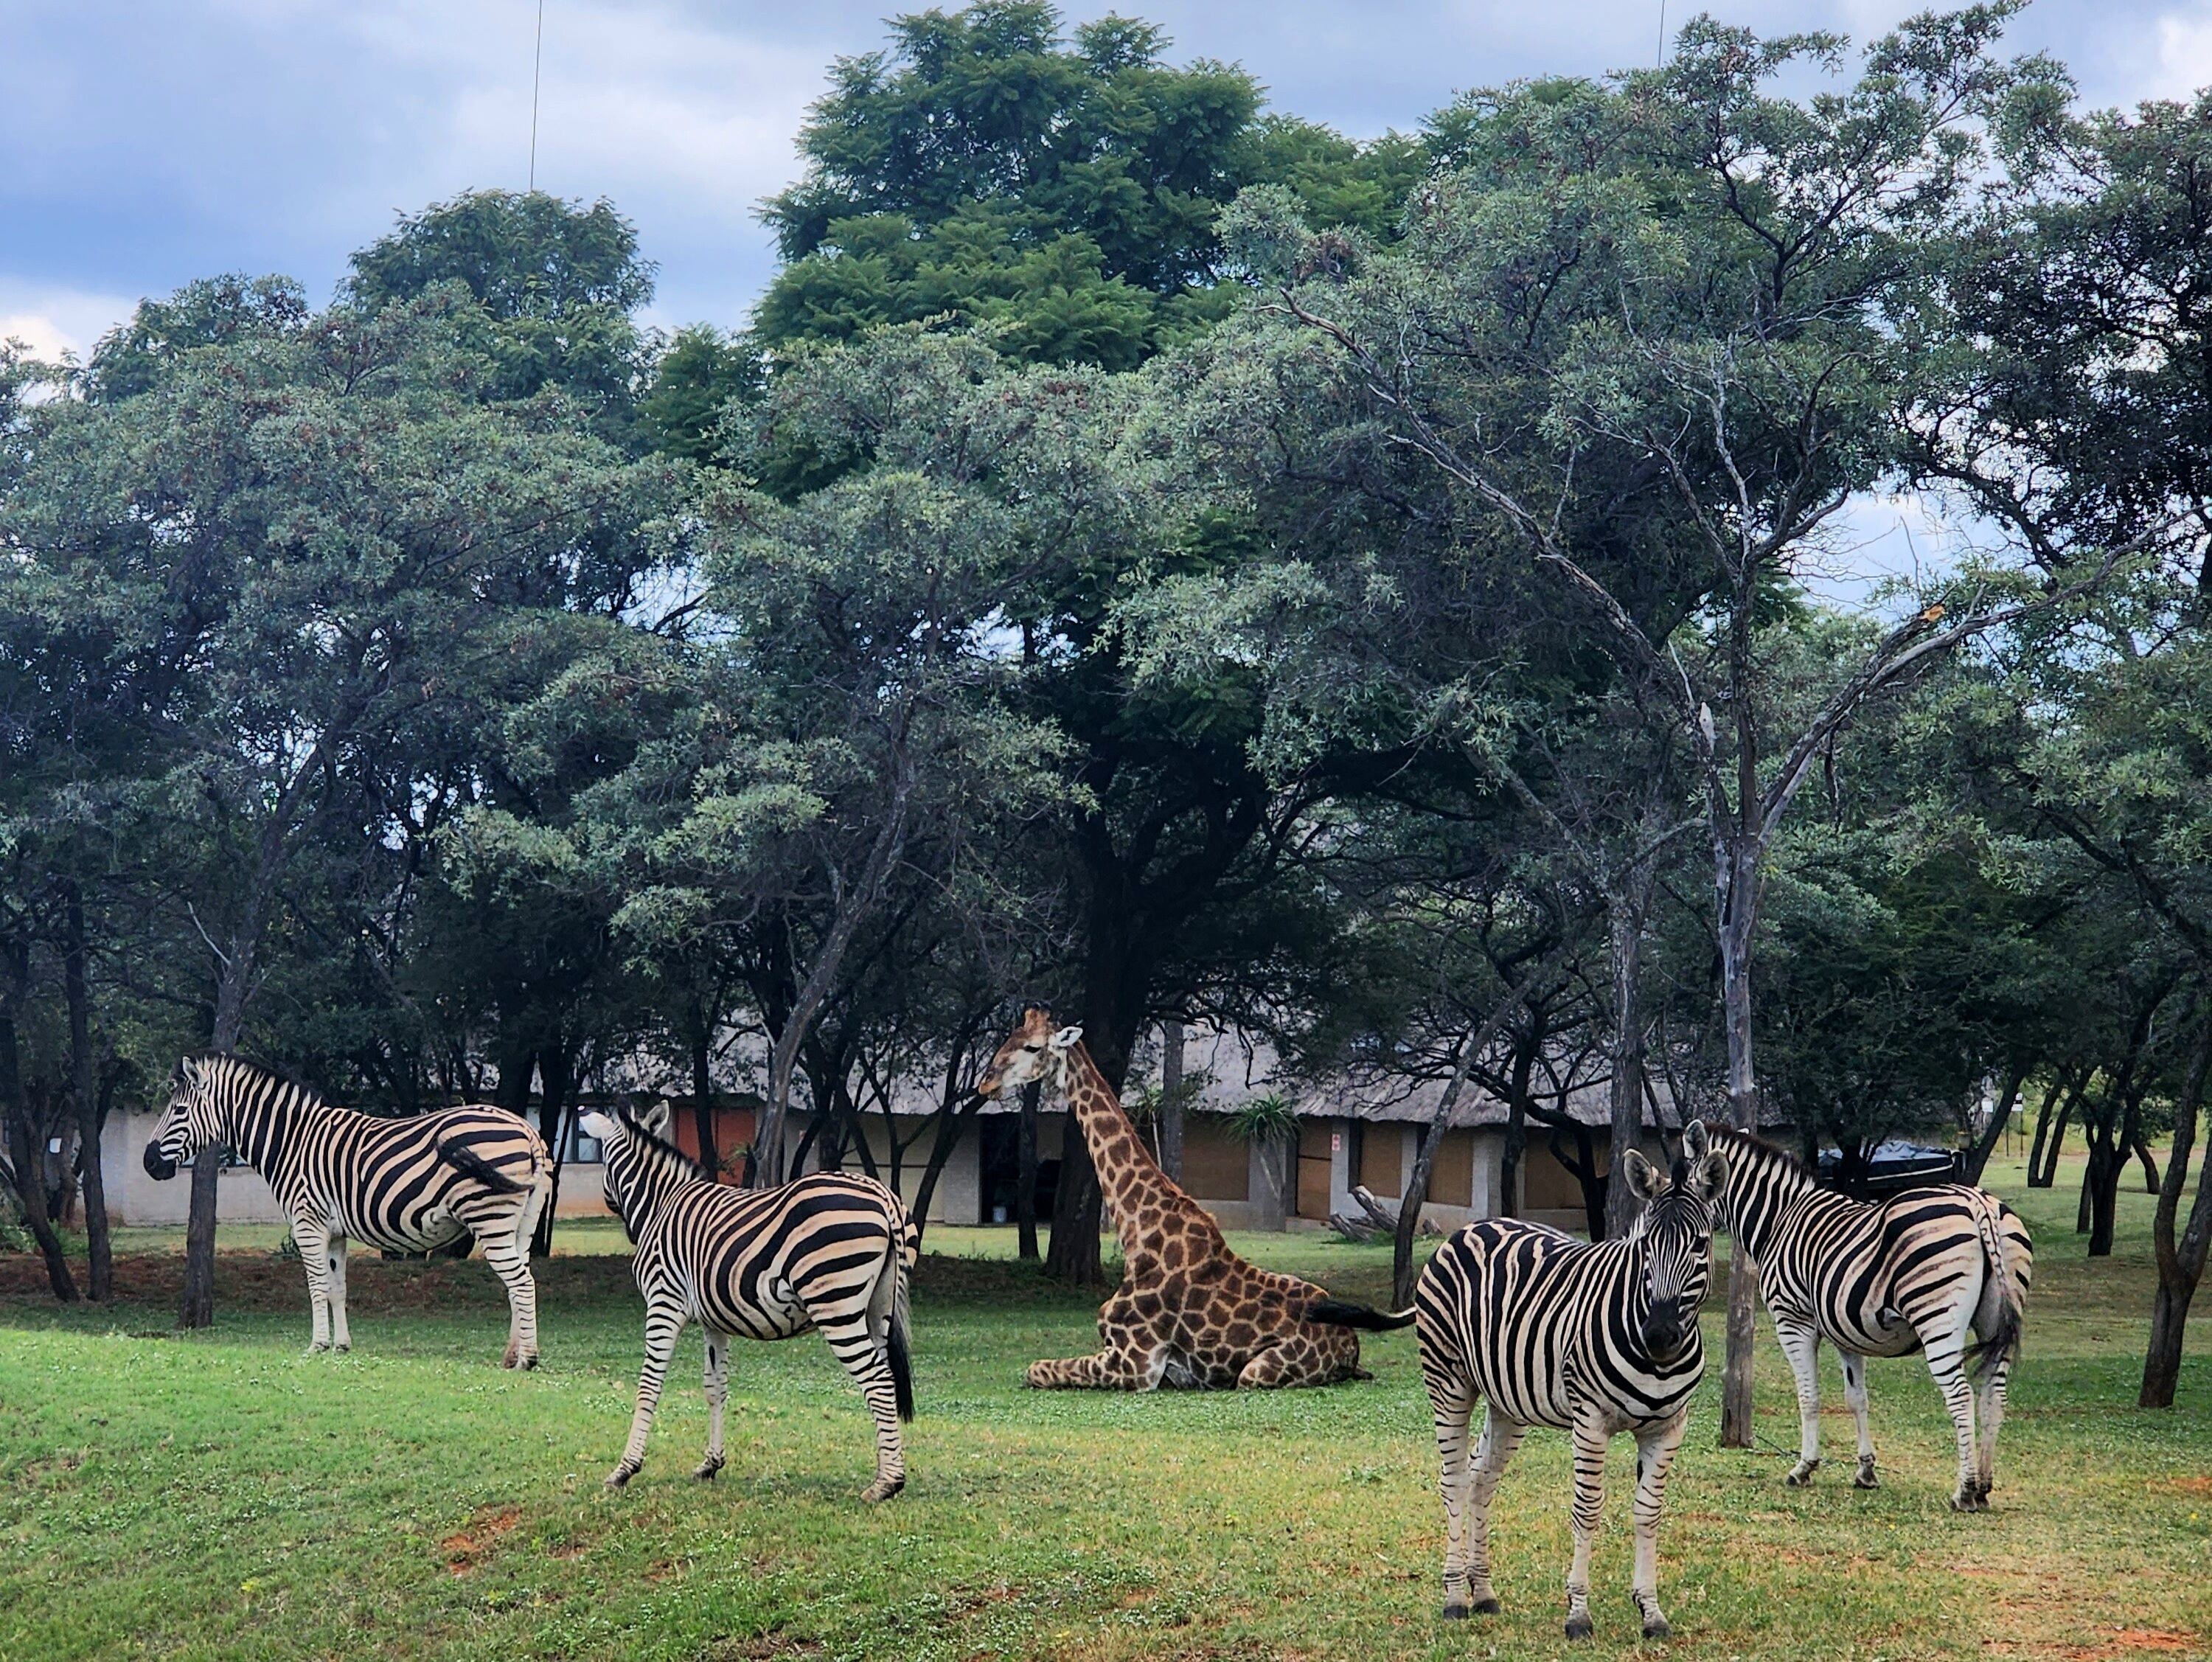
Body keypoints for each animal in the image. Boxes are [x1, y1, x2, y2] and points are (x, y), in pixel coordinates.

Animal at [141, 1054, 553, 1366]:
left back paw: (527, 1360)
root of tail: (526, 1128)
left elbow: (317, 1286)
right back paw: (510, 1355)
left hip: (489, 1218)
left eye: (179, 1111)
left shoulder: (308, 1224)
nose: (148, 1163)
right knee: (519, 1282)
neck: (292, 1142)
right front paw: (341, 1345)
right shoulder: (335, 1232)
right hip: (521, 1224)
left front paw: (317, 1345)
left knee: (521, 1282)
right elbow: (337, 1288)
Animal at [581, 1105, 918, 1502]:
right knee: (886, 1380)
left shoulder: (664, 1302)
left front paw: (624, 1470)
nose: (624, 1225)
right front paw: (710, 1465)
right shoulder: (713, 1319)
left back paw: (886, 1484)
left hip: (836, 1307)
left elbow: (649, 1386)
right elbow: (715, 1388)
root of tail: (884, 1198)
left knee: (877, 1381)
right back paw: (886, 1472)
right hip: (877, 1310)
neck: (661, 1203)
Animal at [976, 1006, 1410, 1390]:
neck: (1137, 1231)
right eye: (1008, 1038)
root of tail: (1352, 1346)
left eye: (1033, 1047)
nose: (986, 1083)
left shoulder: (1136, 1363)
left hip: (1256, 1373)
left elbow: (1035, 1369)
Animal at [1415, 1123, 1728, 1641]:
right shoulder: (1591, 1421)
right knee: (1454, 1479)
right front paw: (1578, 1613)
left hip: (1507, 1401)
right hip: (1448, 1379)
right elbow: (1588, 1509)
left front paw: (1652, 1612)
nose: (1660, 1336)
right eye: (1645, 1246)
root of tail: (1474, 1226)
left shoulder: (1668, 1428)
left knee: (1481, 1478)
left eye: (1701, 1245)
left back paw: (1484, 1592)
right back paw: (1456, 1597)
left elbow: (1648, 1512)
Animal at [1702, 1124, 2032, 1511]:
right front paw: (1866, 1472)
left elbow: (1808, 1395)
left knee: (1961, 1396)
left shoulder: (1793, 1321)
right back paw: (1983, 1487)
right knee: (1995, 1394)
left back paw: (1964, 1491)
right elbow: (1857, 1399)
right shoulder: (1845, 1330)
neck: (1779, 1220)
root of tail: (1977, 1203)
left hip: (1938, 1318)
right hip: (1995, 1318)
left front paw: (1804, 1467)